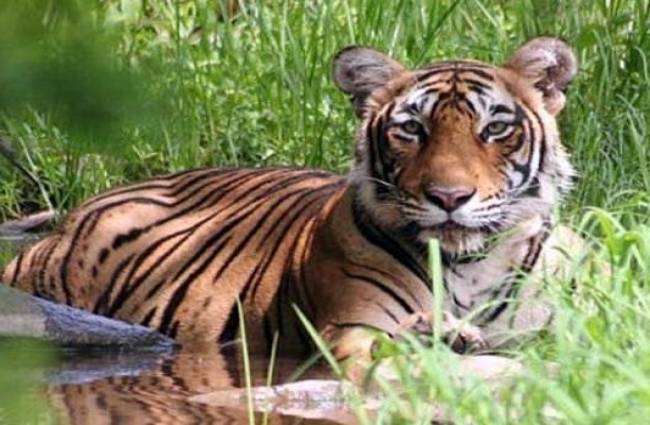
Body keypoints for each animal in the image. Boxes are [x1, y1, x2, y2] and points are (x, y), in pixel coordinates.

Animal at [1, 37, 581, 364]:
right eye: (412, 130)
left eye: (495, 128)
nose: (449, 196)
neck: (470, 265)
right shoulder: (351, 329)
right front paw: (441, 334)